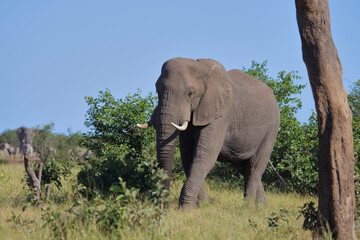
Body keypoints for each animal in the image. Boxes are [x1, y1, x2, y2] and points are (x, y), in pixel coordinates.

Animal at [136, 57, 280, 207]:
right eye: (157, 90)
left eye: (190, 93)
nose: (164, 206)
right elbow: (188, 157)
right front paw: (202, 206)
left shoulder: (220, 115)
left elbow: (203, 157)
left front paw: (186, 208)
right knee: (244, 168)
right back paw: (262, 207)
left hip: (272, 128)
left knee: (254, 168)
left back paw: (249, 207)